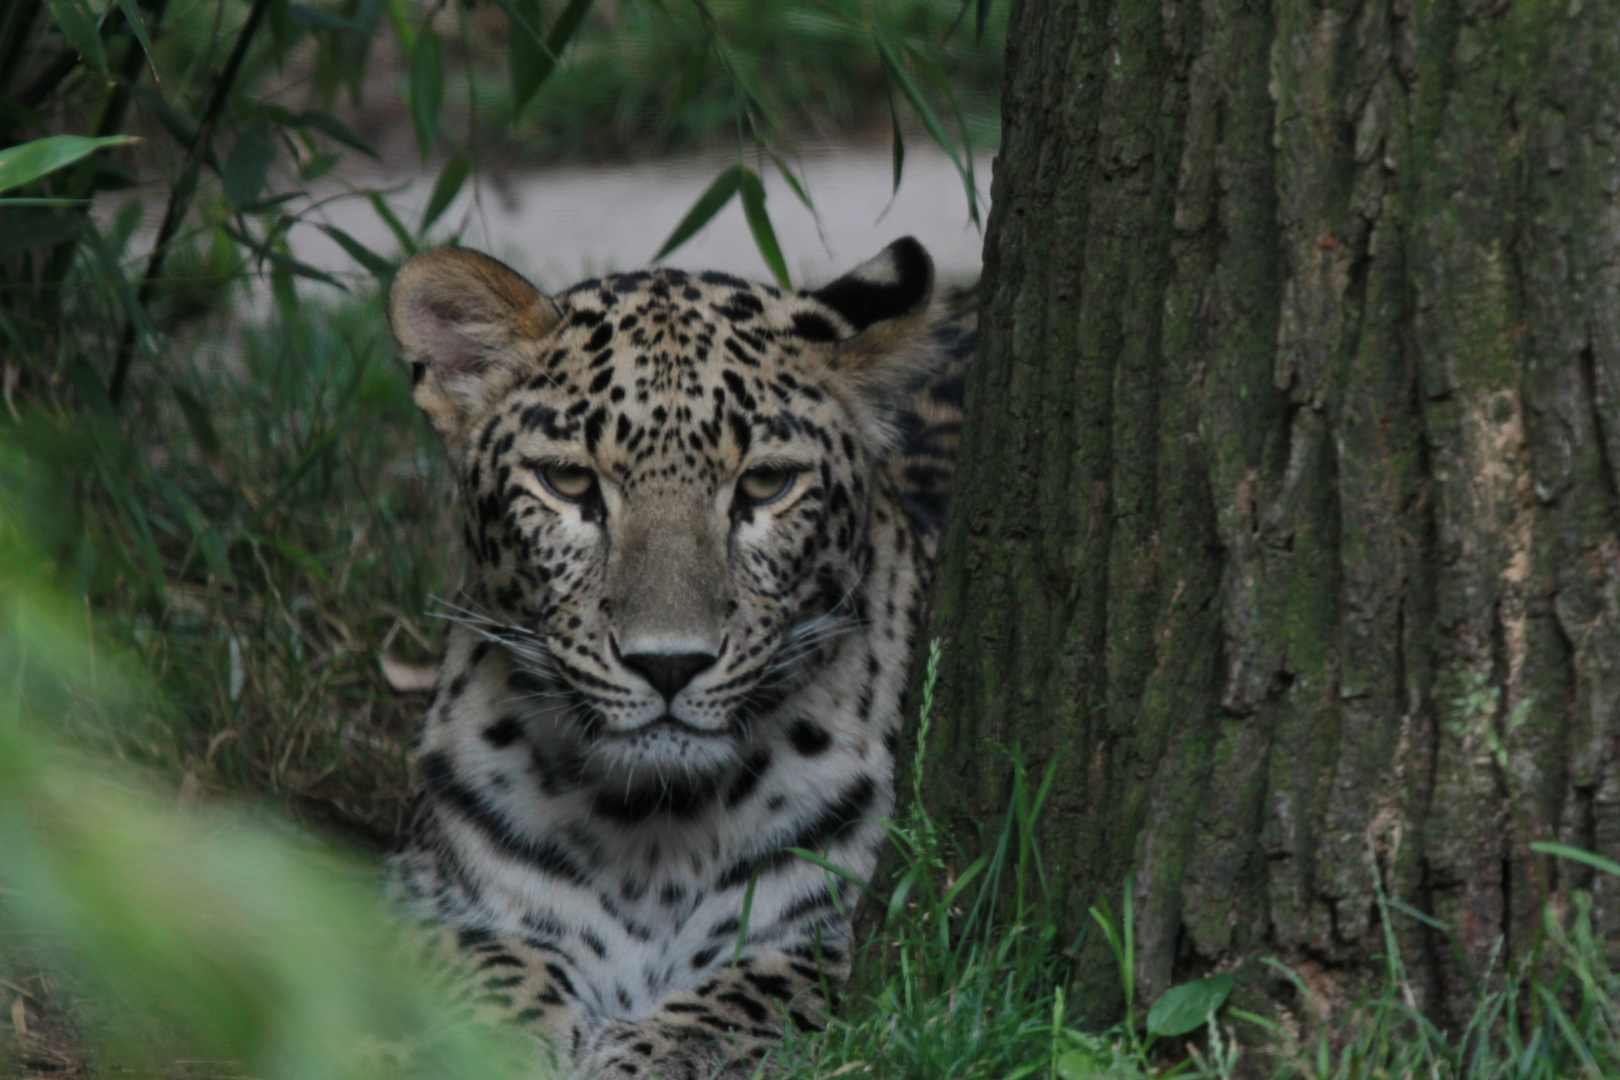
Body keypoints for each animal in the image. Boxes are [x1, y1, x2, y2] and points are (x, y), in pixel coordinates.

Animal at [383, 238, 972, 1080]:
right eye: (568, 481)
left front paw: (647, 1052)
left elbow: (764, 990)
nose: (668, 664)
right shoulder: (417, 894)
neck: (653, 831)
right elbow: (486, 961)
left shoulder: (861, 930)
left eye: (767, 483)